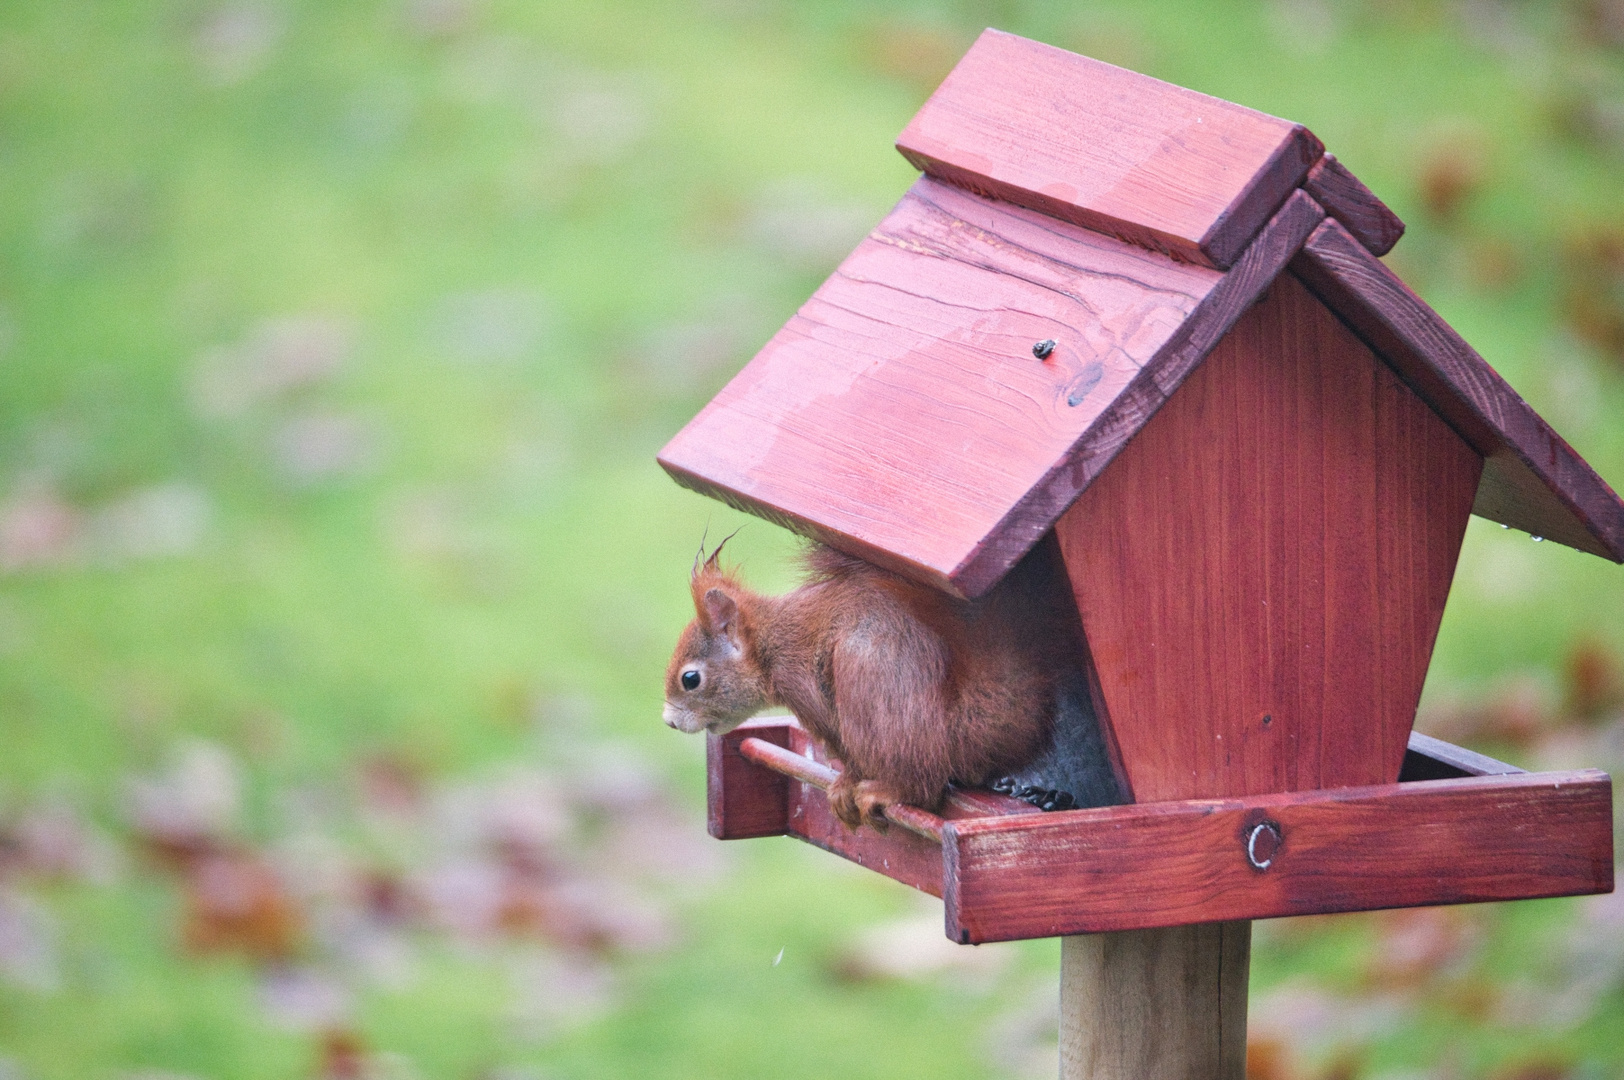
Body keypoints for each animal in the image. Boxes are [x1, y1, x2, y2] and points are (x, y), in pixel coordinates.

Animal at [659, 535, 1091, 828]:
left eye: (691, 679)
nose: (669, 722)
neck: (770, 644)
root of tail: (955, 734)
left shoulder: (803, 685)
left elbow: (845, 751)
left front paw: (847, 783)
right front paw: (839, 788)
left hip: (866, 674)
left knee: (923, 785)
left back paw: (889, 790)